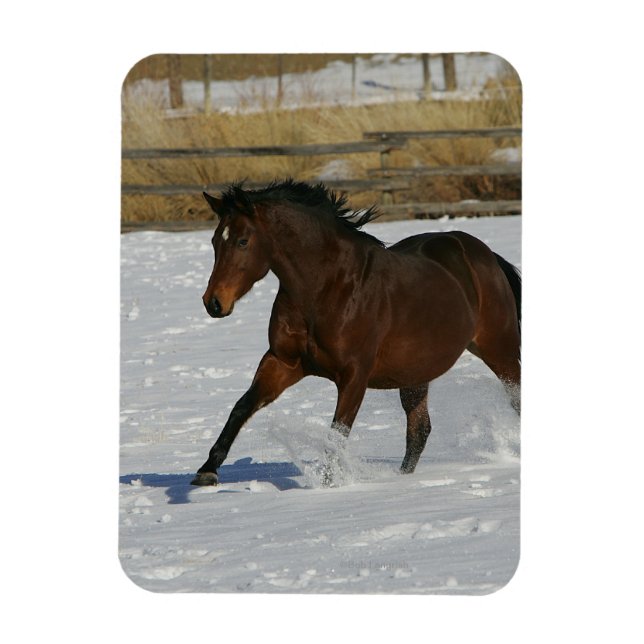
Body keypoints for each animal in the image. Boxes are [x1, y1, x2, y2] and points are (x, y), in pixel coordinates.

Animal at [190, 179, 521, 486]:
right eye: (214, 241)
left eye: (243, 241)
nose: (213, 302)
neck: (326, 288)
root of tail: (483, 254)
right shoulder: (283, 362)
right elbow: (242, 407)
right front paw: (207, 471)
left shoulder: (353, 376)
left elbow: (337, 433)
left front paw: (329, 485)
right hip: (416, 373)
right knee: (419, 430)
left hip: (499, 350)